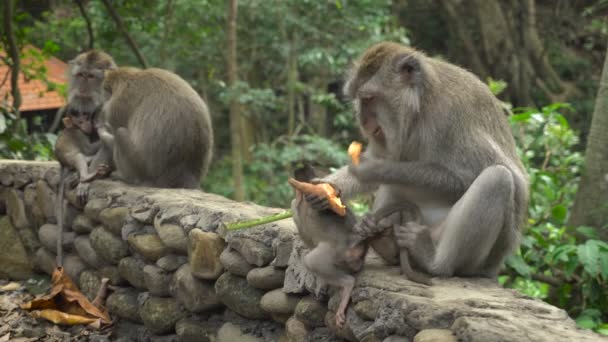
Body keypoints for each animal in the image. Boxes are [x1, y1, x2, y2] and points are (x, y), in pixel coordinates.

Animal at [308, 42, 528, 278]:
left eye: (369, 98)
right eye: (359, 99)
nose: (364, 122)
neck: (420, 107)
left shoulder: (449, 117)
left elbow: (467, 177)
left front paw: (376, 169)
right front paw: (327, 187)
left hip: (477, 258)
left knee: (497, 179)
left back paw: (433, 261)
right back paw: (387, 245)